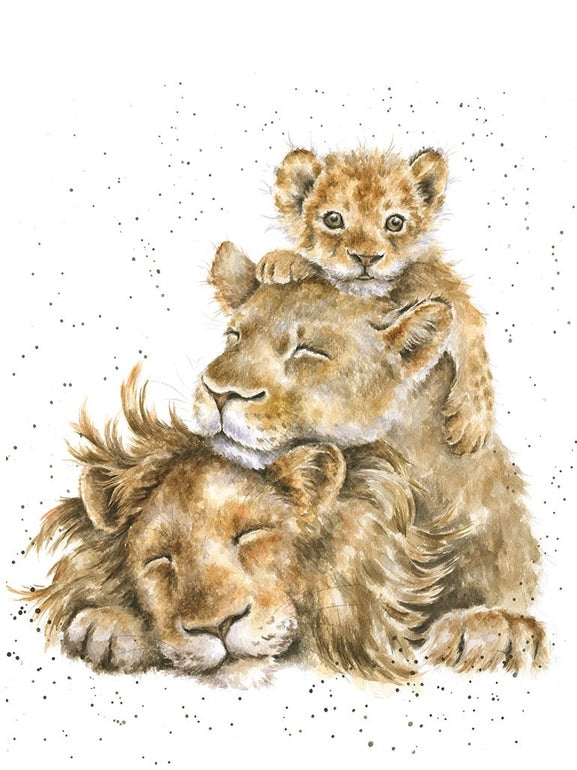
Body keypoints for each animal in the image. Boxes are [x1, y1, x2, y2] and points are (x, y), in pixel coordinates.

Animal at [255, 147, 494, 455]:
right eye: (333, 219)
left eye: (395, 222)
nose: (366, 257)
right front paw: (284, 262)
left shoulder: (447, 289)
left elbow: (472, 335)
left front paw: (472, 423)